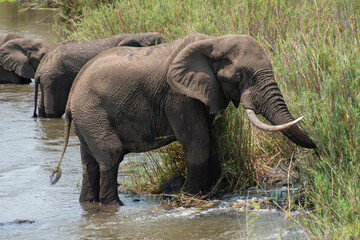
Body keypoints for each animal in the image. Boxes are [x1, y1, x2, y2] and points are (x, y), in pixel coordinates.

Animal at [32, 31, 165, 118]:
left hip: (48, 81)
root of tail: (39, 69)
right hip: (55, 80)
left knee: (42, 109)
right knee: (54, 111)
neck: (135, 34)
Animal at [50, 32, 316, 206]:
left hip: (87, 119)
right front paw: (193, 197)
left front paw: (212, 194)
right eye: (240, 76)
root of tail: (72, 98)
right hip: (93, 112)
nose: (318, 146)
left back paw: (89, 204)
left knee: (90, 162)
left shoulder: (203, 93)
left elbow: (210, 141)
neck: (214, 41)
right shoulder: (178, 95)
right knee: (111, 155)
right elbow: (198, 143)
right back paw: (114, 206)